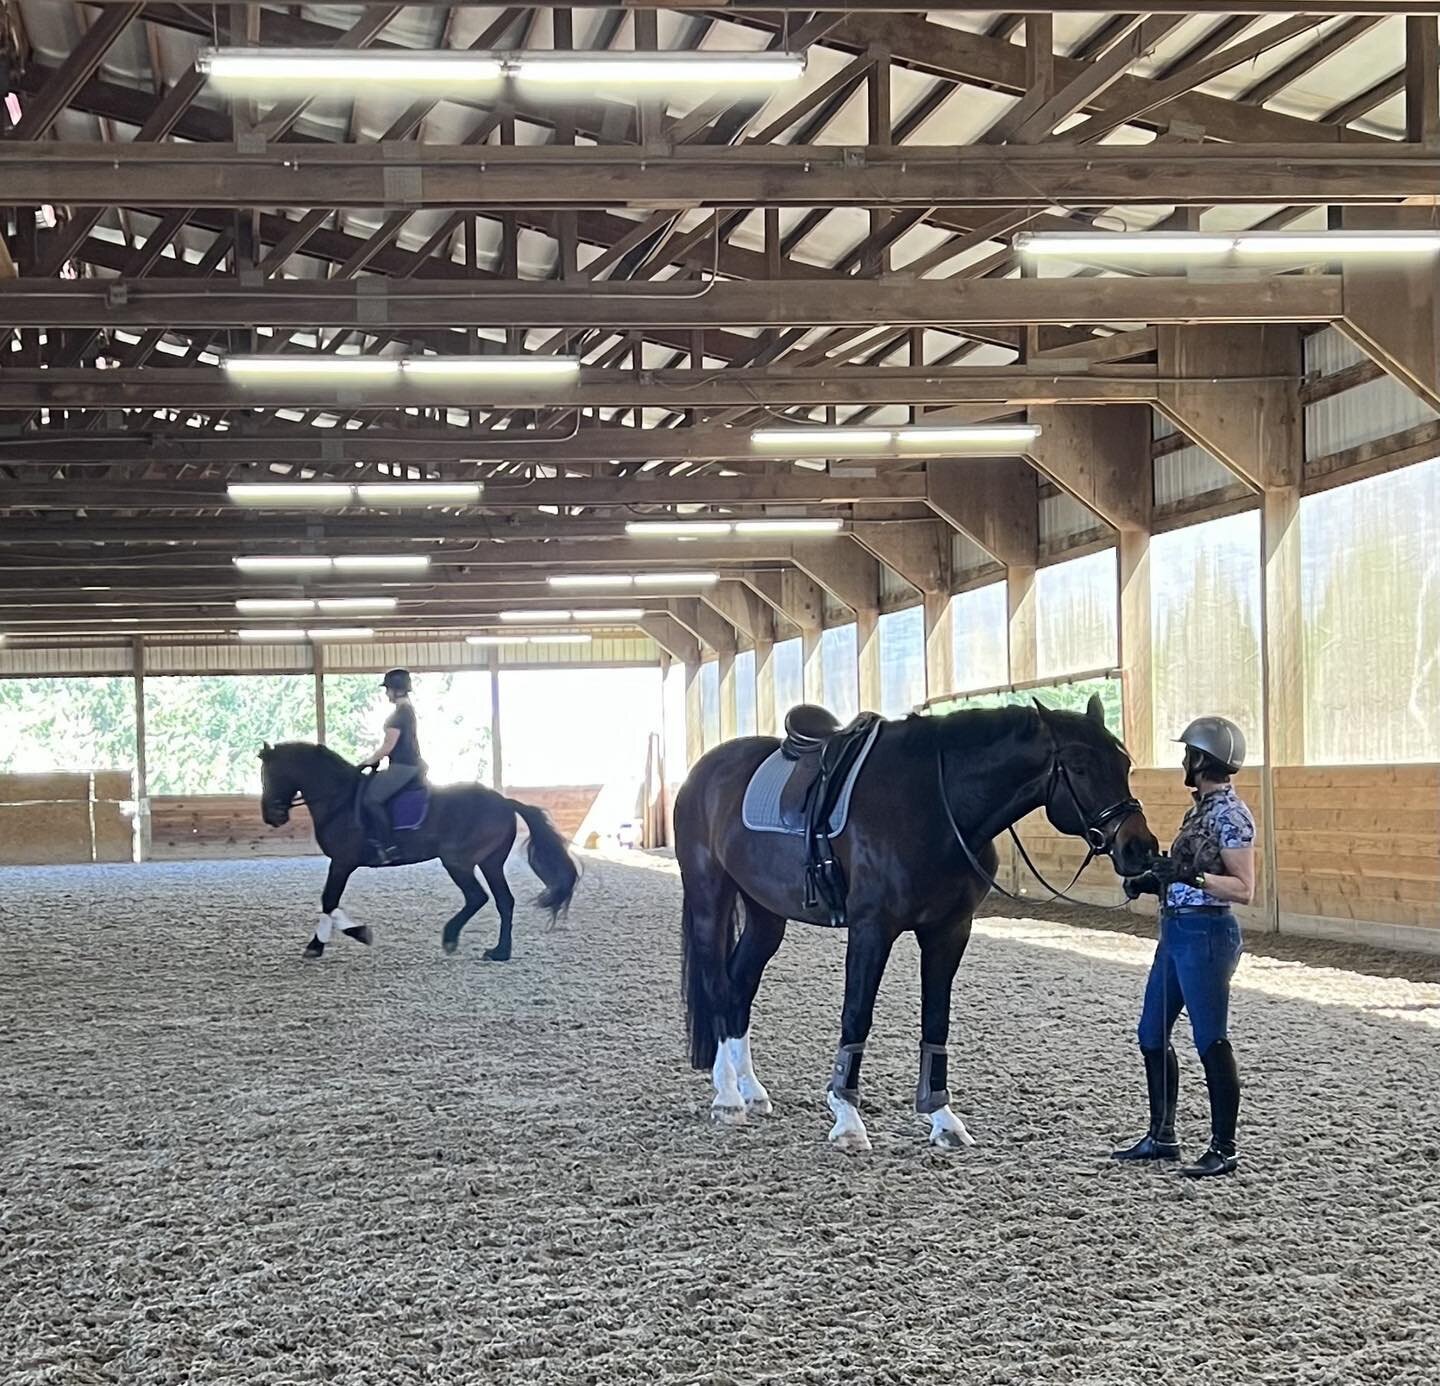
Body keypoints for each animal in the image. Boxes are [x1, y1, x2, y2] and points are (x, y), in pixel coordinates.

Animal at [259, 737, 578, 956]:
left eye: (269, 775)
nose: (271, 816)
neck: (338, 798)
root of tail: (504, 802)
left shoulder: (342, 861)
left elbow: (328, 900)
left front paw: (332, 941)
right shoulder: (341, 862)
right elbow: (330, 901)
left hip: (458, 861)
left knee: (478, 897)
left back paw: (453, 938)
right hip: (489, 862)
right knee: (503, 901)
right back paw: (499, 952)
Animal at [673, 697, 1157, 1152]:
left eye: (1124, 764)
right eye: (1079, 766)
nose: (1139, 848)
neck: (935, 806)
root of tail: (702, 773)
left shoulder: (949, 931)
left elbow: (936, 1020)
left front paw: (943, 1119)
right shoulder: (872, 929)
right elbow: (857, 1016)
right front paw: (847, 1119)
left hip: (765, 915)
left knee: (739, 986)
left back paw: (751, 1091)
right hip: (710, 896)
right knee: (718, 985)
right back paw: (727, 1098)